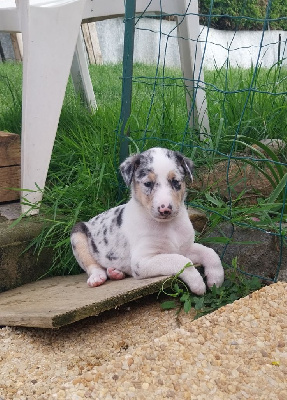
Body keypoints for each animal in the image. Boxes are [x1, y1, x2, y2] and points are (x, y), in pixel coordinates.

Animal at [71, 147, 225, 294]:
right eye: (148, 183)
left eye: (175, 182)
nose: (165, 209)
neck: (168, 226)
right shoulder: (142, 261)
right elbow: (181, 260)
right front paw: (197, 283)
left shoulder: (185, 248)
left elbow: (210, 252)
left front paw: (216, 279)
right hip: (77, 235)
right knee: (92, 265)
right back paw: (98, 277)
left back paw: (115, 272)